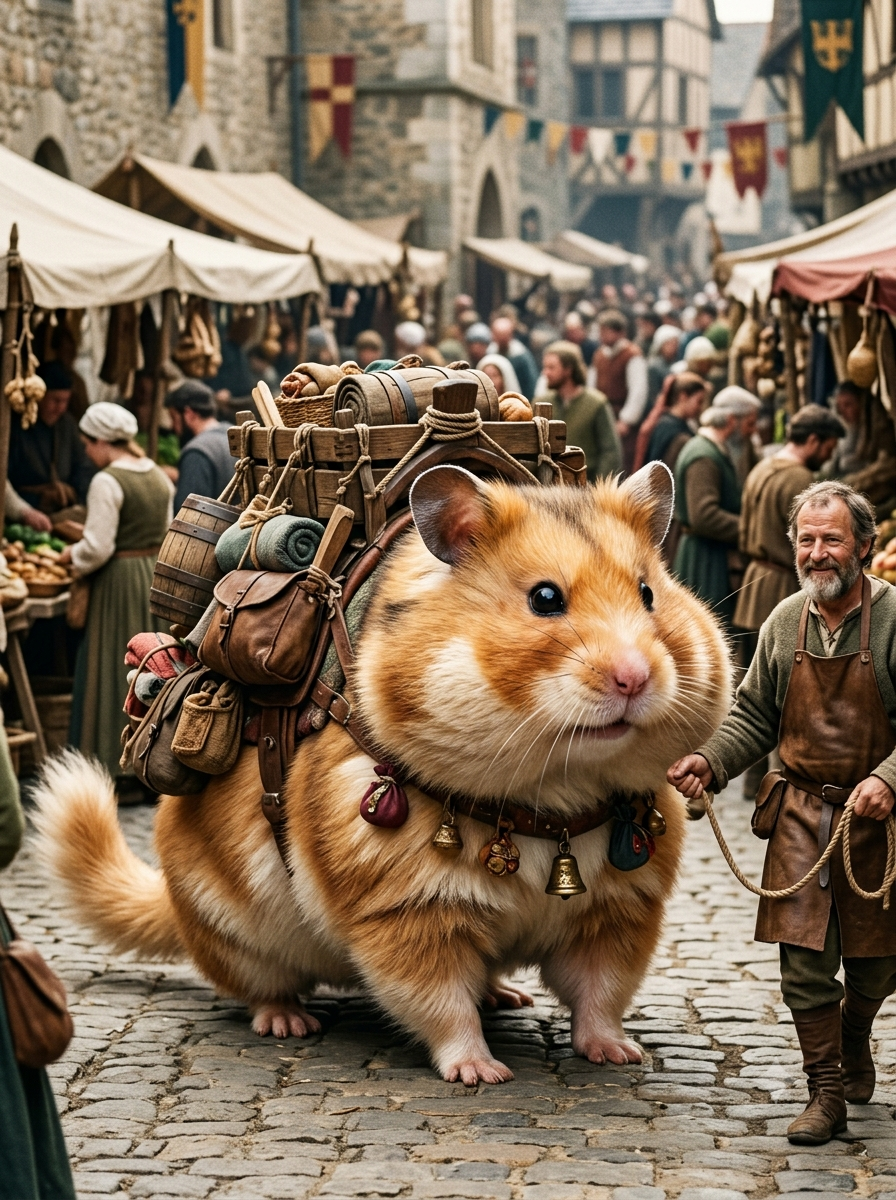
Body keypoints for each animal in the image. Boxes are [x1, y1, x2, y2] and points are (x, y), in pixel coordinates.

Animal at [34, 461, 731, 1085]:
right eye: (544, 598)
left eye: (649, 592)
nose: (635, 678)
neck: (549, 798)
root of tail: (175, 909)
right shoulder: (406, 910)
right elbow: (442, 1004)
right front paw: (483, 1074)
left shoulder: (619, 912)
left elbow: (600, 995)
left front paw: (620, 1057)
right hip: (233, 931)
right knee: (258, 987)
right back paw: (289, 1023)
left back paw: (509, 997)